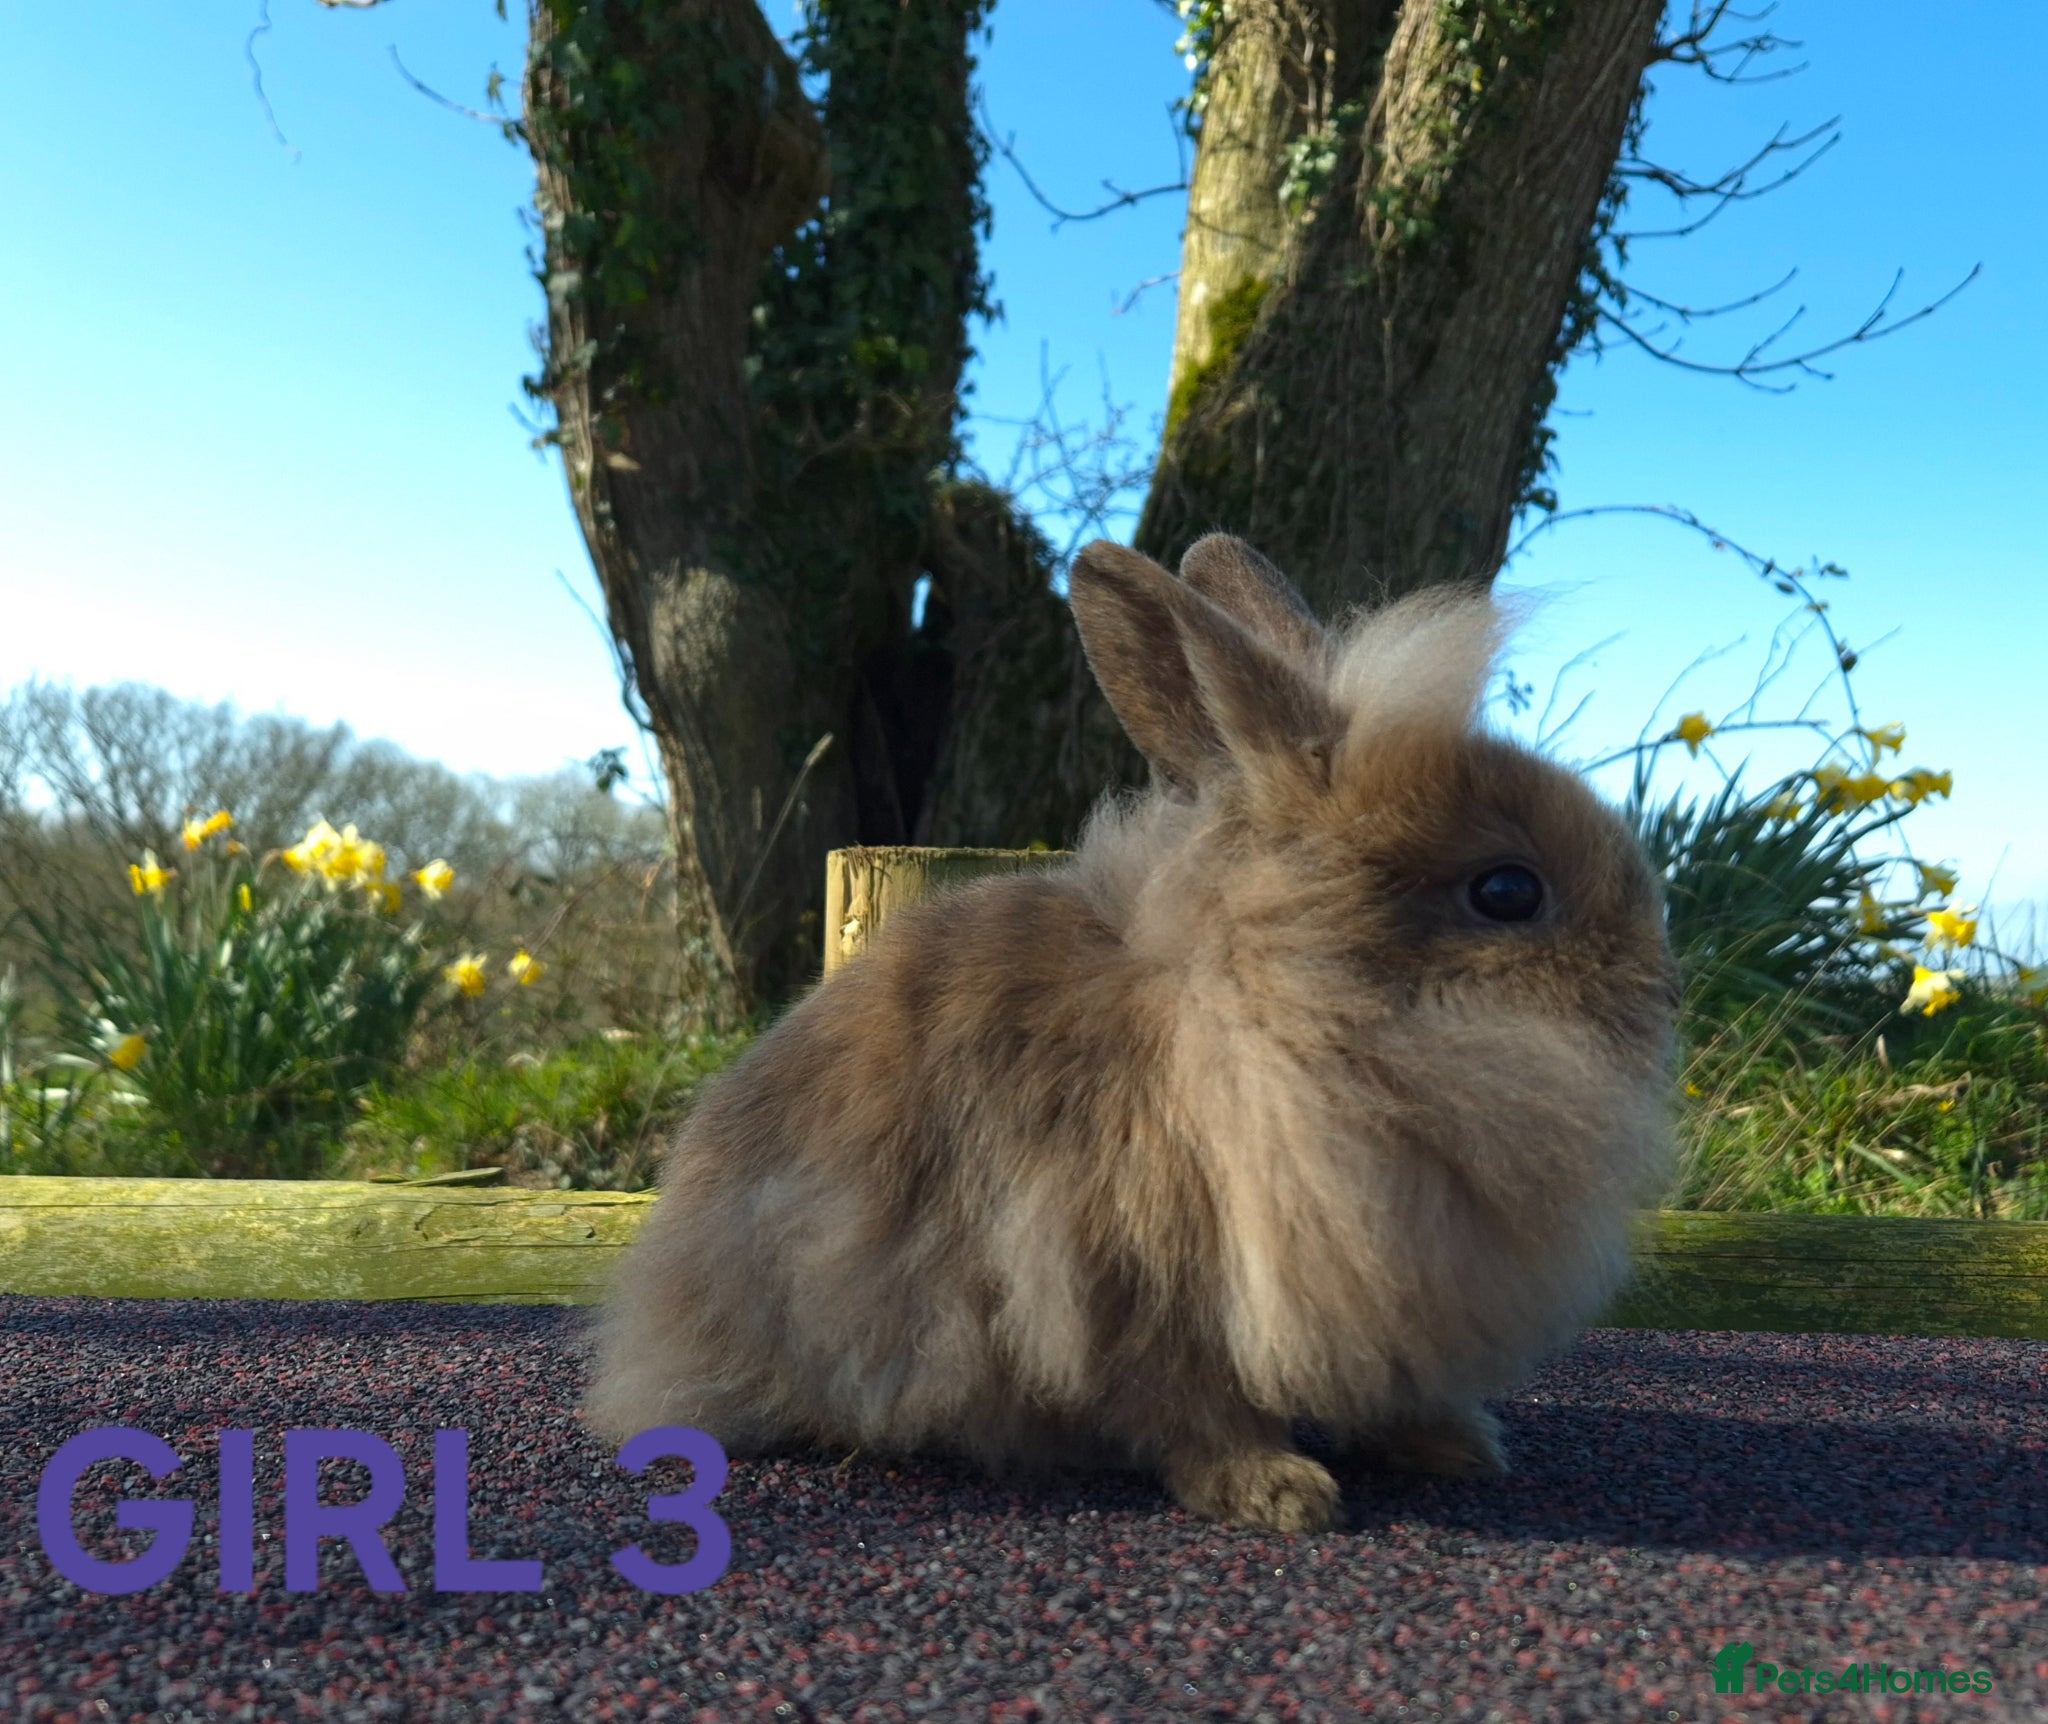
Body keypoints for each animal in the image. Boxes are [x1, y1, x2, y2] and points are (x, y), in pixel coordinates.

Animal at [582, 533, 1682, 1534]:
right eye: (1507, 892)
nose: (1664, 996)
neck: (1284, 1010)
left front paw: (1458, 1444)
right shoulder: (1128, 1282)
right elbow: (1194, 1408)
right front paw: (1278, 1493)